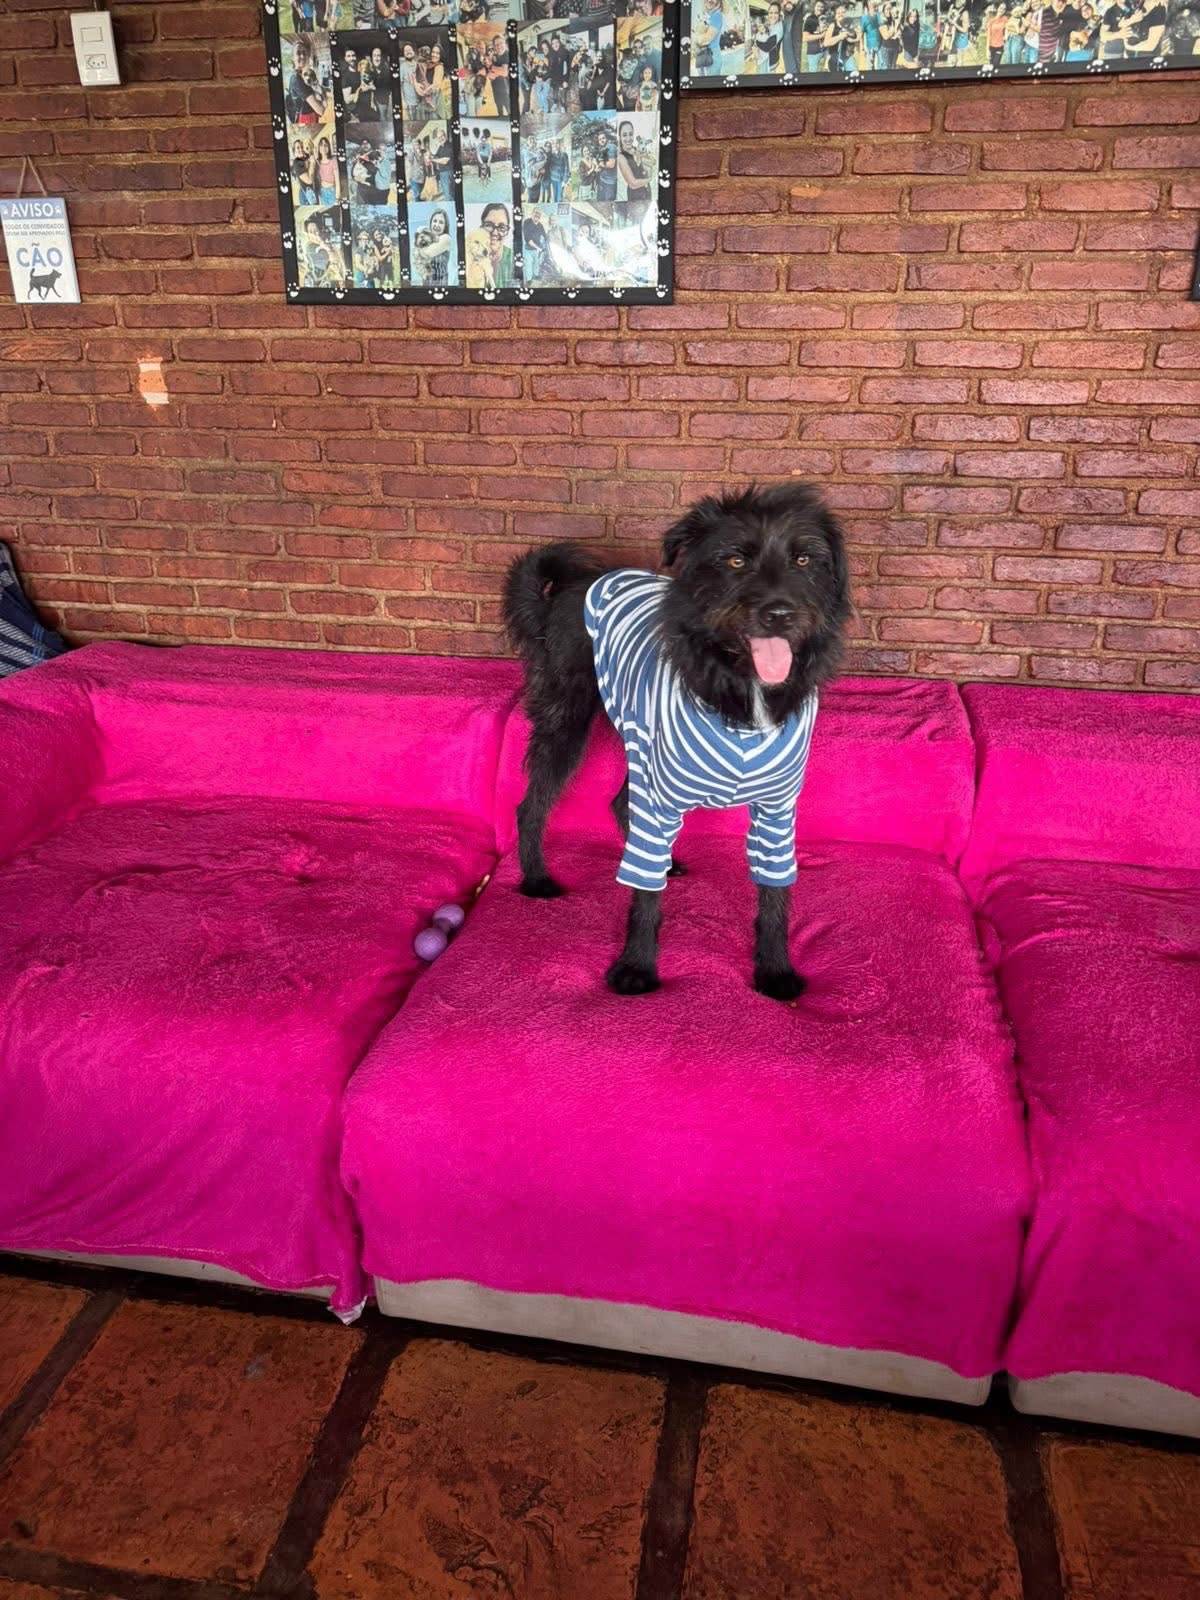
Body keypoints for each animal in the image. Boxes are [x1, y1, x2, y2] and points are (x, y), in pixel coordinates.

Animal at [503, 482, 850, 1000]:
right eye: (735, 560)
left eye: (805, 559)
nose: (779, 613)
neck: (740, 689)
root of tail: (569, 589)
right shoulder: (661, 797)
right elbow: (644, 893)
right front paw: (637, 966)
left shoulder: (777, 809)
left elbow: (776, 893)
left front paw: (775, 969)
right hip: (568, 722)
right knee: (533, 805)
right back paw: (537, 878)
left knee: (621, 801)